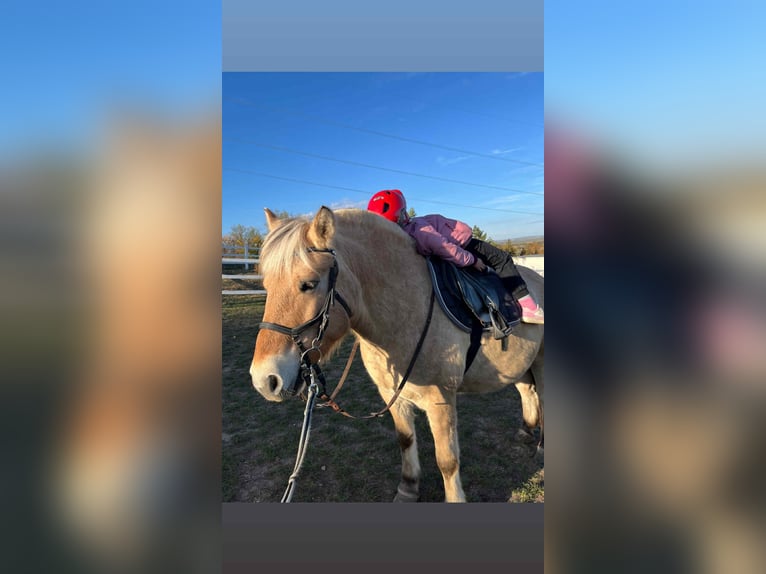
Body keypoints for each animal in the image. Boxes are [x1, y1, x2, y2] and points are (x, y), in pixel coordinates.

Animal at [250, 206, 544, 502]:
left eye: (309, 284)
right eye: (266, 285)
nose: (264, 380)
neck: (407, 309)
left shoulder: (441, 400)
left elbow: (447, 460)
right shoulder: (393, 396)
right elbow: (405, 441)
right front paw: (408, 488)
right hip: (521, 362)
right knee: (527, 391)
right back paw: (526, 431)